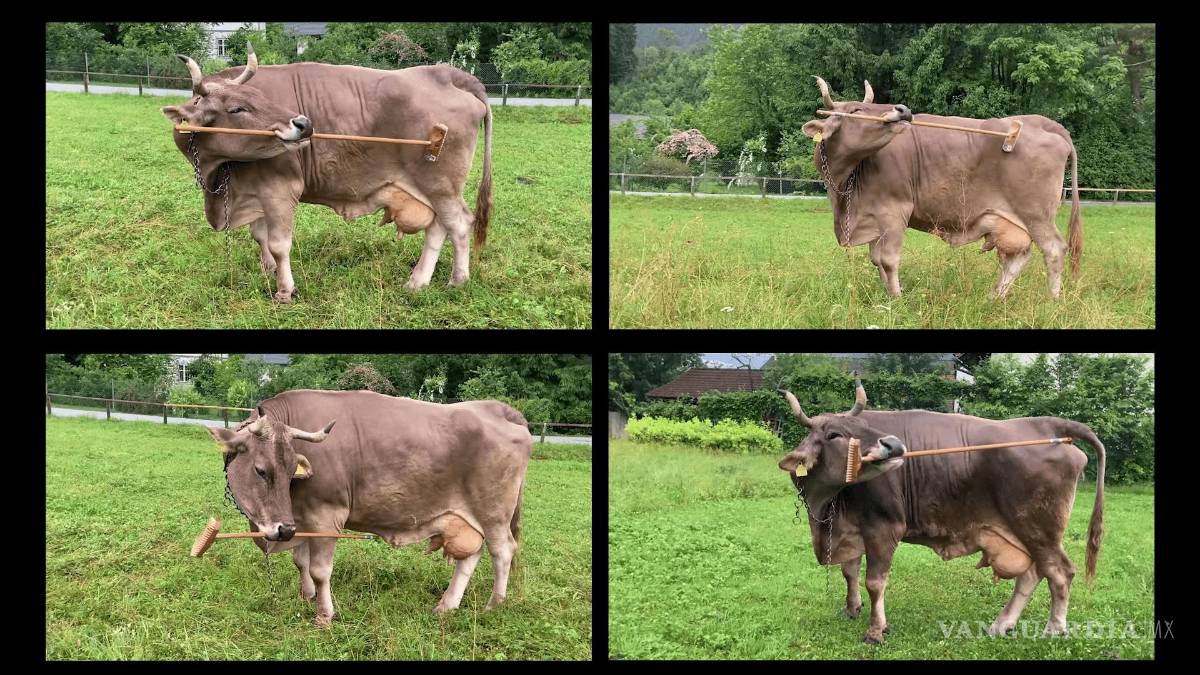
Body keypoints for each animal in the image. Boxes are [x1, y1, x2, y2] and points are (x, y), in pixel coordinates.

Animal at [161, 43, 493, 303]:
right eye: (236, 109)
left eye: (261, 97)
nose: (304, 123)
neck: (218, 176)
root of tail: (448, 74)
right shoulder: (254, 191)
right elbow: (259, 236)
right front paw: (267, 270)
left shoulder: (279, 189)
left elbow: (279, 244)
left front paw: (285, 290)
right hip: (431, 190)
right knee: (438, 227)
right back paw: (418, 281)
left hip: (441, 184)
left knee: (458, 223)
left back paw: (457, 280)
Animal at [206, 389, 530, 626]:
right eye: (262, 471)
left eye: (288, 471)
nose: (282, 530)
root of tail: (497, 408)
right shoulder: (301, 518)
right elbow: (301, 562)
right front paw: (306, 596)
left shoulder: (326, 515)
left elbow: (320, 570)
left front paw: (324, 615)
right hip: (467, 519)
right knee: (471, 556)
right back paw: (447, 605)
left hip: (494, 513)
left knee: (502, 552)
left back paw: (493, 605)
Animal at [775, 379, 1104, 644]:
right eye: (833, 434)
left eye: (865, 427)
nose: (893, 445)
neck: (826, 504)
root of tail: (1046, 424)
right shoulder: (849, 528)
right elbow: (849, 571)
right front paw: (851, 608)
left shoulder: (884, 527)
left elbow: (875, 582)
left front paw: (876, 630)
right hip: (1025, 533)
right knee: (1033, 573)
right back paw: (1001, 625)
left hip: (1039, 529)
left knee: (1059, 572)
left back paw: (1054, 629)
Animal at [802, 77, 1082, 299]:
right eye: (857, 109)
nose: (902, 109)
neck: (844, 187)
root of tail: (1045, 123)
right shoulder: (873, 216)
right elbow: (875, 259)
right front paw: (886, 294)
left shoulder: (894, 211)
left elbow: (888, 260)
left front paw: (896, 299)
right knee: (1018, 257)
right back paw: (994, 297)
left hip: (1036, 213)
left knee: (1054, 250)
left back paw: (1052, 300)